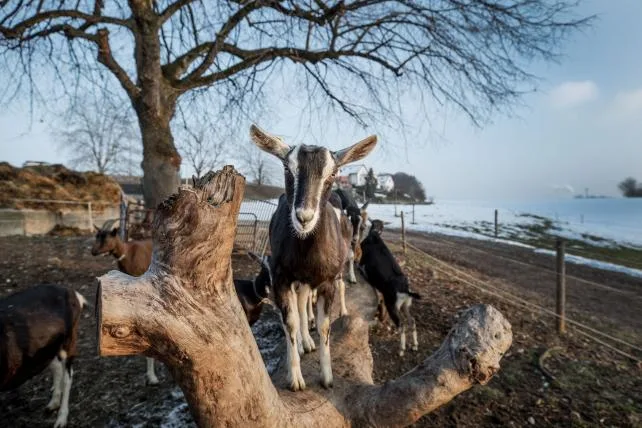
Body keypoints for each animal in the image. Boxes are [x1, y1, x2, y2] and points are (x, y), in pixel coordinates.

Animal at [1, 285, 87, 428]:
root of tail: (76, 295)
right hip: (47, 348)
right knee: (56, 366)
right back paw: (53, 403)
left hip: (69, 340)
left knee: (68, 376)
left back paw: (61, 420)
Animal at [250, 124, 377, 391]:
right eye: (287, 168)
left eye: (333, 173)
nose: (304, 217)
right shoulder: (280, 276)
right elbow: (289, 321)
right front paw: (295, 378)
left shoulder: (327, 280)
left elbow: (324, 325)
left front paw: (327, 377)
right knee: (298, 304)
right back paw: (301, 343)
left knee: (304, 299)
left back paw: (307, 341)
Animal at [359, 219, 421, 357]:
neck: (375, 235)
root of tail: (405, 290)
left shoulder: (362, 261)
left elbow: (360, 266)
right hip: (405, 305)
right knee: (412, 320)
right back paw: (414, 345)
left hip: (392, 305)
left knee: (401, 324)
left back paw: (401, 350)